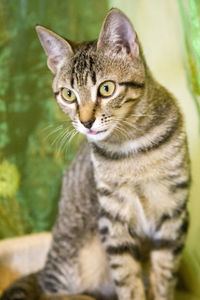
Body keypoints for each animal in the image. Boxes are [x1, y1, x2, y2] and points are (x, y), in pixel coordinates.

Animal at [0, 6, 190, 300]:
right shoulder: (113, 218)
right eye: (68, 94)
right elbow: (127, 278)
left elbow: (164, 276)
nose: (86, 121)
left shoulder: (173, 212)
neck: (132, 145)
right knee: (50, 292)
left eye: (106, 88)